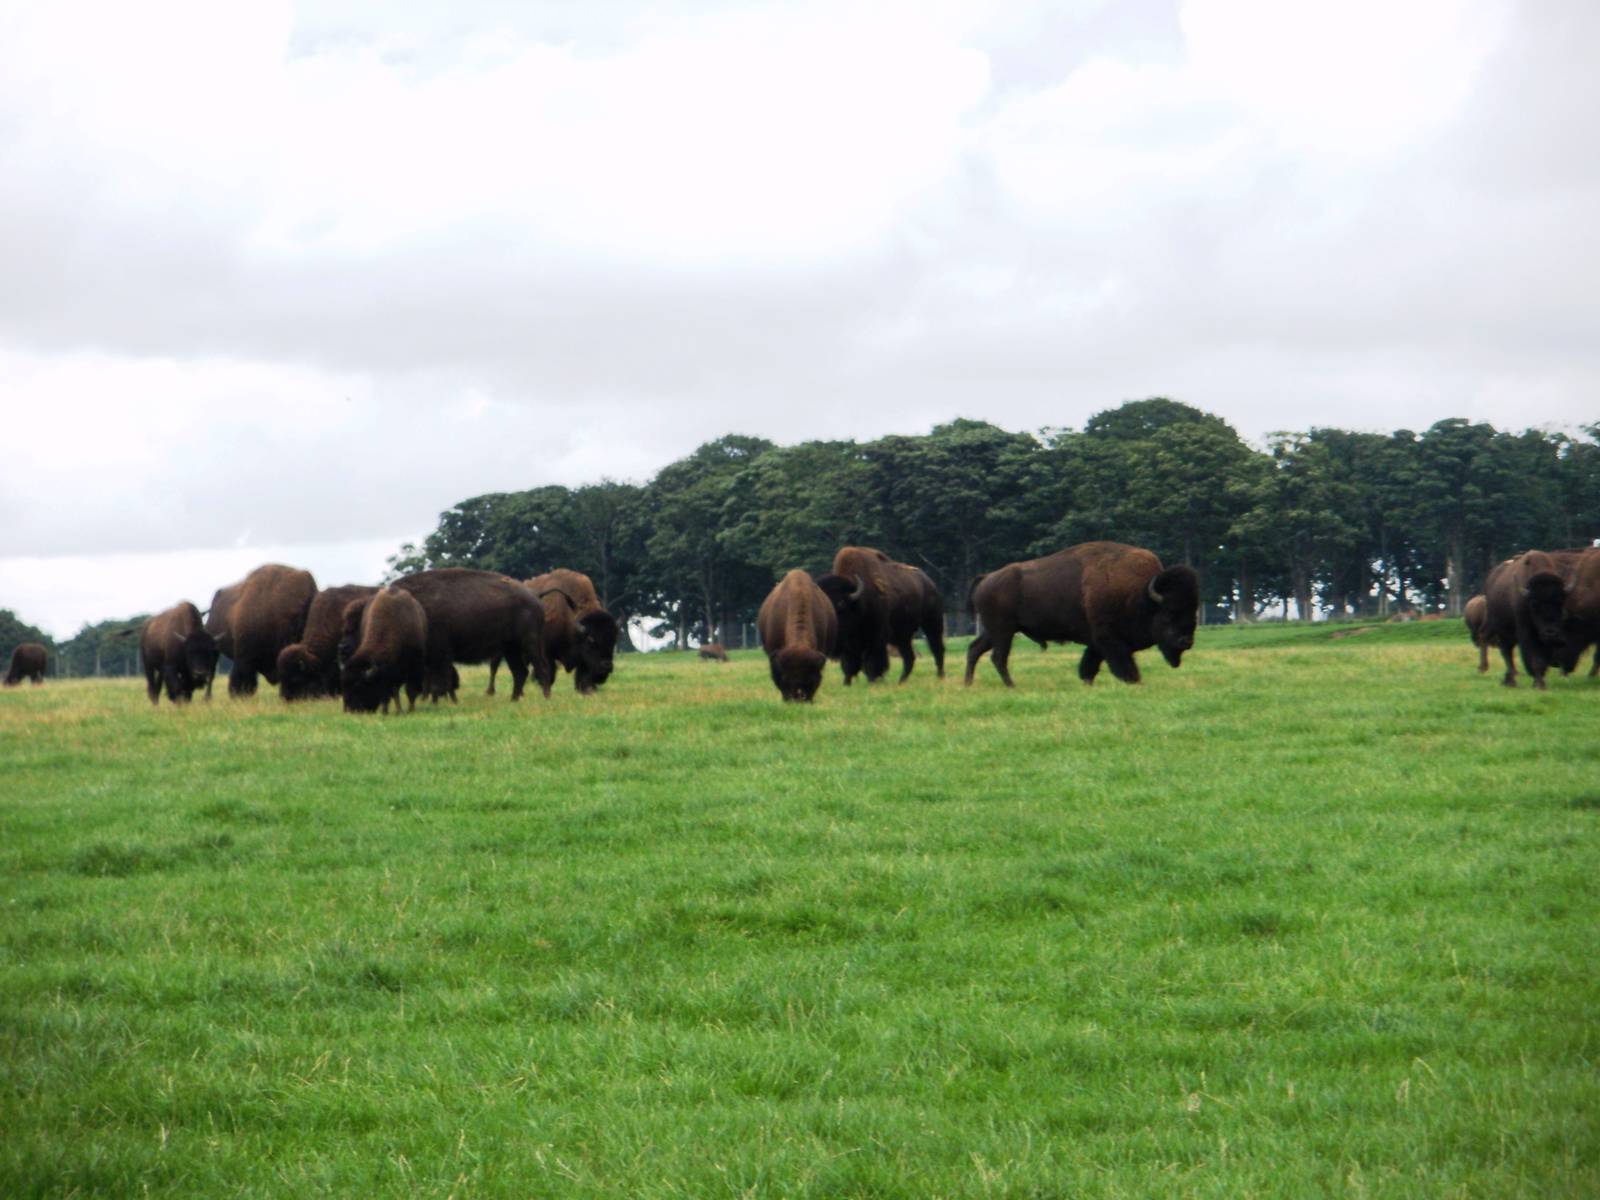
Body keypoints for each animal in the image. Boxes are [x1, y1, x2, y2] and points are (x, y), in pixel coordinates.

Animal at [390, 568, 552, 701]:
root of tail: (536, 599)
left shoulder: (440, 655)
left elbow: (439, 681)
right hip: (510, 649)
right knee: (520, 672)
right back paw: (513, 699)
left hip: (529, 643)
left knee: (542, 668)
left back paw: (545, 697)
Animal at [815, 546, 946, 684]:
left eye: (841, 604)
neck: (859, 600)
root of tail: (931, 585)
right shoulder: (850, 644)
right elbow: (849, 664)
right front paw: (847, 683)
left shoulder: (876, 637)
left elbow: (872, 661)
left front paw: (874, 680)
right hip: (903, 636)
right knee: (909, 657)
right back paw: (901, 681)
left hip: (932, 623)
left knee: (937, 648)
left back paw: (940, 677)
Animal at [965, 541, 1199, 687]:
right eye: (1168, 613)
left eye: (1193, 612)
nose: (1186, 642)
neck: (1139, 595)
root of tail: (987, 578)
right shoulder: (1109, 641)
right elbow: (1124, 667)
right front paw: (1136, 683)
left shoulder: (1097, 644)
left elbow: (1088, 667)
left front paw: (1087, 684)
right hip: (1003, 631)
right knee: (998, 657)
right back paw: (1011, 685)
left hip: (994, 631)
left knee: (975, 649)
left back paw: (968, 683)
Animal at [1484, 550, 1568, 689]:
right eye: (1534, 604)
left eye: (1560, 602)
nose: (1550, 632)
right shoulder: (1526, 632)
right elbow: (1534, 657)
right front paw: (1538, 684)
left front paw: (1540, 681)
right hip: (1502, 630)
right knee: (1506, 652)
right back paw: (1510, 681)